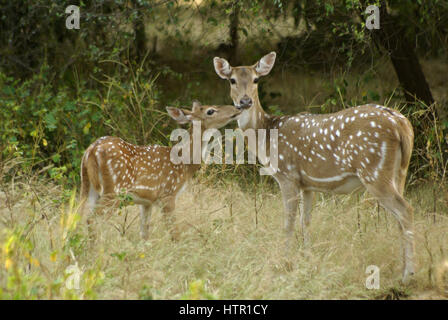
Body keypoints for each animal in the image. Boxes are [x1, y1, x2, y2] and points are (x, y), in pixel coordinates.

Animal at [80, 102, 242, 240]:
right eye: (210, 111)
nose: (237, 108)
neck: (184, 164)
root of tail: (91, 150)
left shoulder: (147, 201)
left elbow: (144, 233)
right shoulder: (168, 194)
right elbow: (174, 233)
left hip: (89, 188)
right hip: (115, 190)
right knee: (91, 220)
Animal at [214, 50, 416, 282]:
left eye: (256, 79)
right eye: (232, 80)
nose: (245, 101)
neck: (266, 137)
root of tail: (402, 125)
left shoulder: (287, 176)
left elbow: (288, 222)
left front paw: (284, 261)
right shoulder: (307, 185)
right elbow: (306, 221)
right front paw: (307, 259)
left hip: (374, 171)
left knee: (405, 210)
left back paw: (408, 275)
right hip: (399, 172)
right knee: (399, 217)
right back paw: (402, 269)